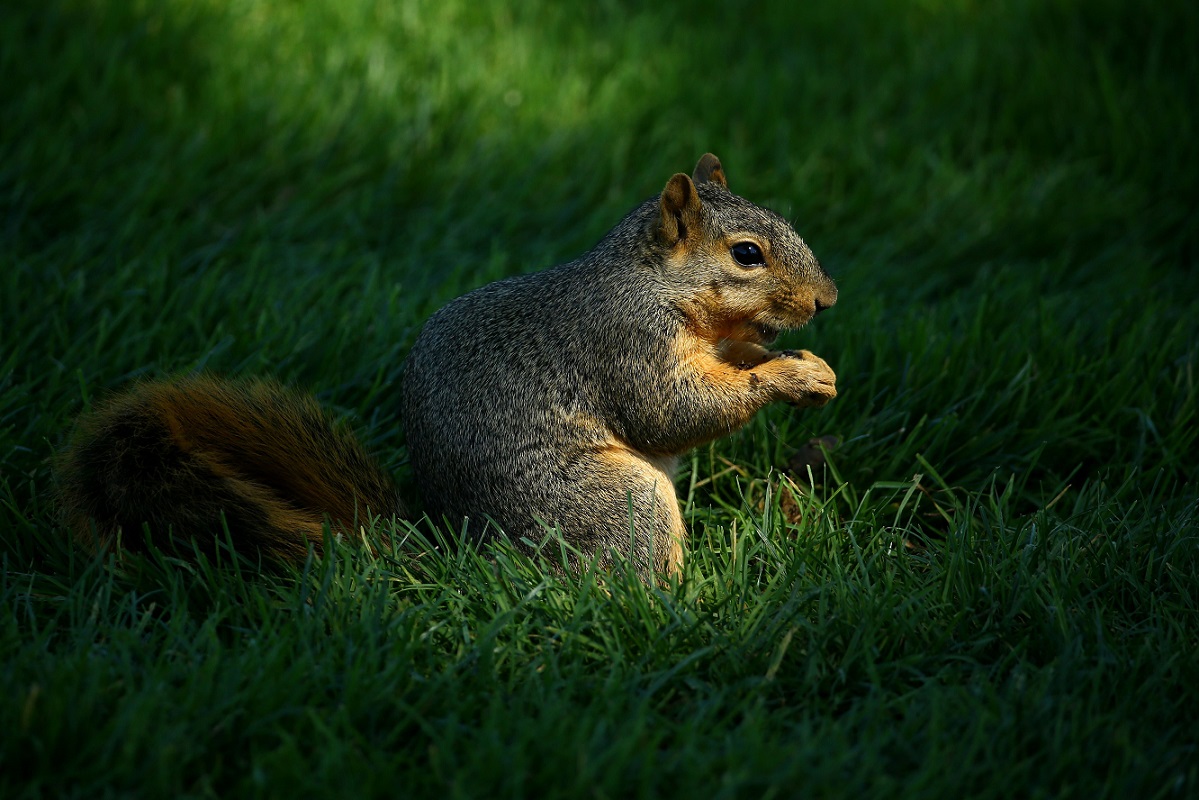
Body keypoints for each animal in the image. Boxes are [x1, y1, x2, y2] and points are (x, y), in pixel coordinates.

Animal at [55, 154, 838, 574]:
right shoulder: (626, 343)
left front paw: (800, 361)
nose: (826, 298)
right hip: (609, 500)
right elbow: (672, 411)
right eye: (746, 254)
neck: (651, 283)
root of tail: (471, 553)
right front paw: (784, 376)